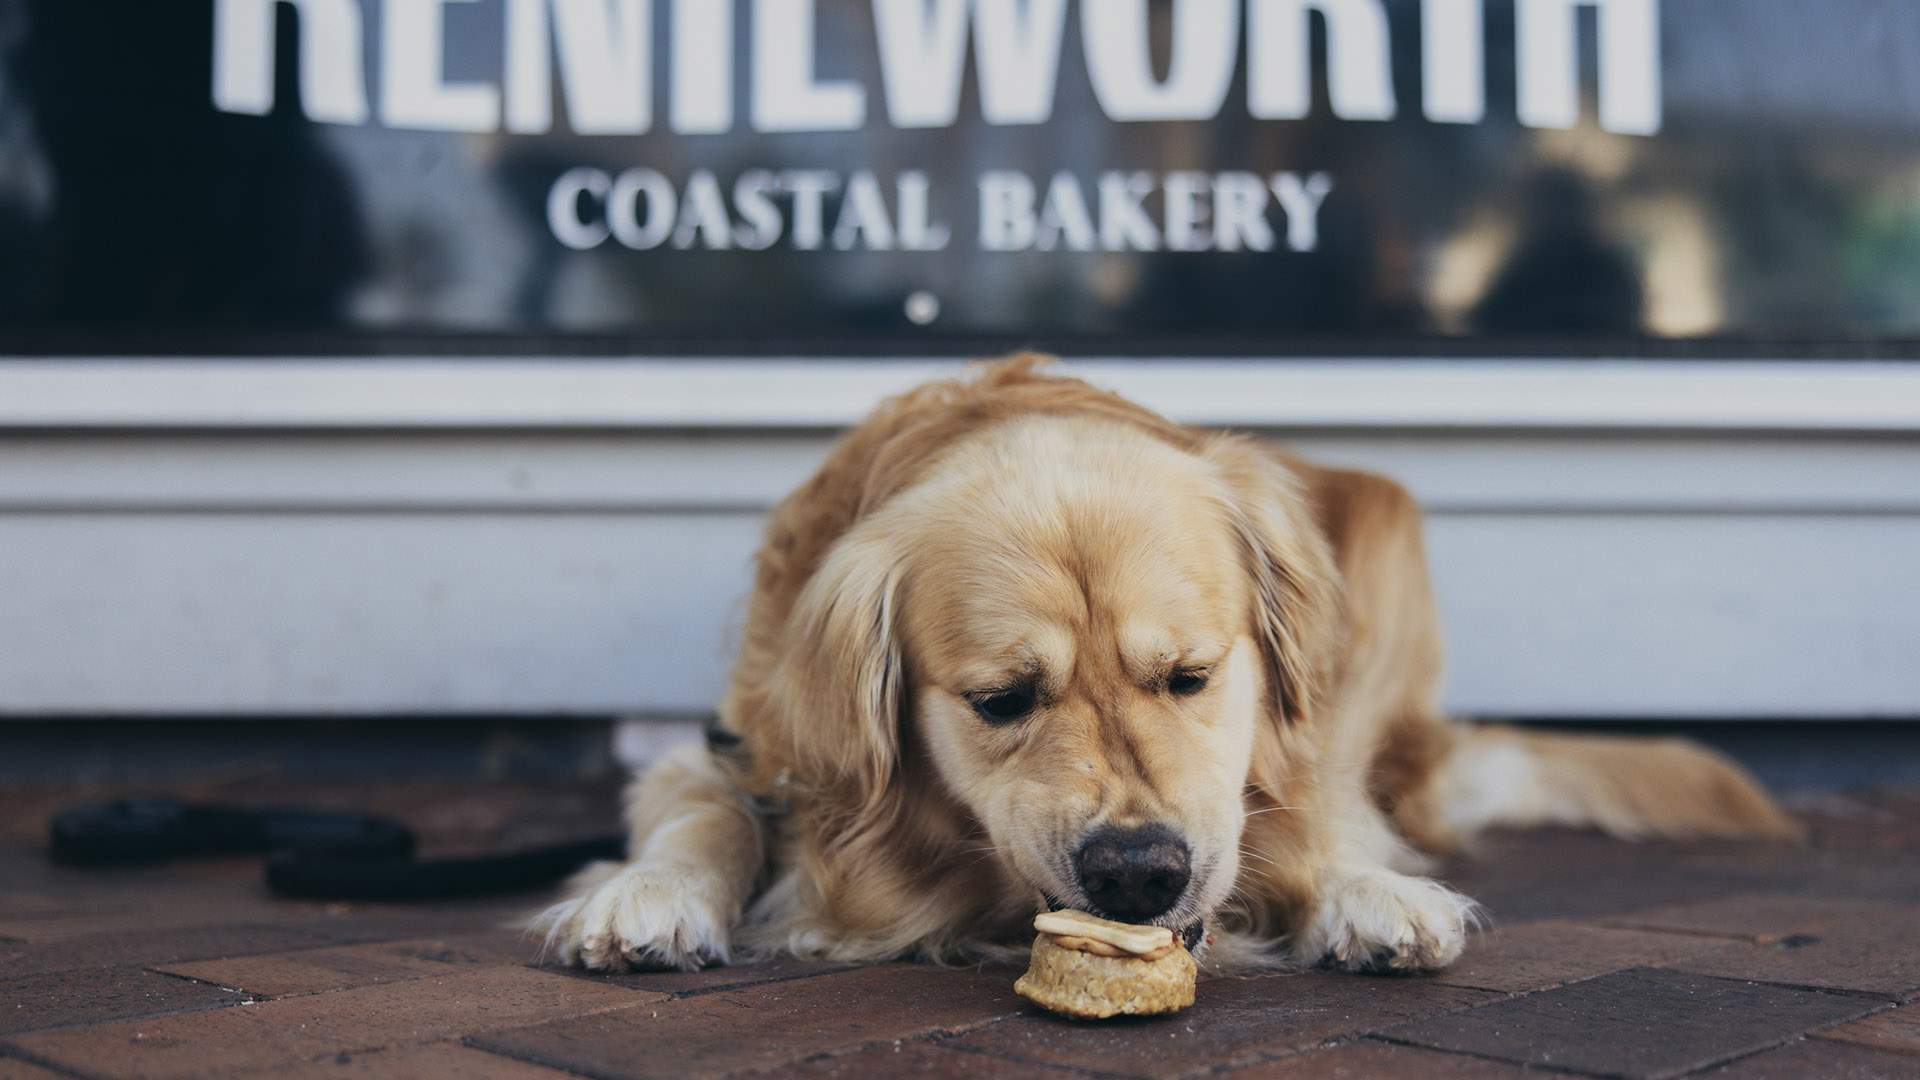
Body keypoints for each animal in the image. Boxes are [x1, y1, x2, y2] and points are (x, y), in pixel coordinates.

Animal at [529, 353, 1797, 968]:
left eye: (1191, 675)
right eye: (1001, 700)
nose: (1138, 871)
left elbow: (1313, 827)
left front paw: (1367, 893)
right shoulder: (738, 746)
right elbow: (704, 811)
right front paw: (646, 895)